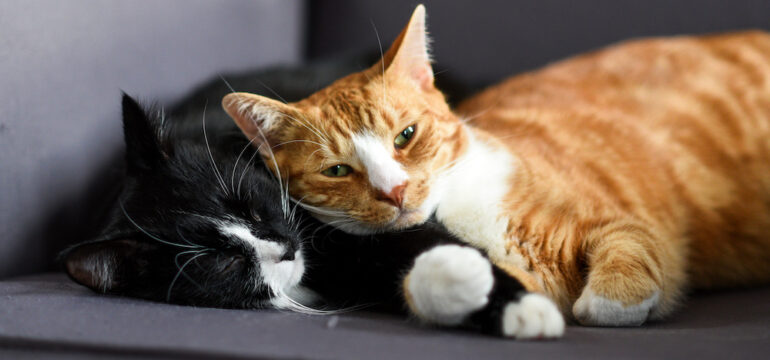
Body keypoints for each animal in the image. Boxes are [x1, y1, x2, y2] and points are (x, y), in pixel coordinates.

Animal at [222, 4, 768, 334]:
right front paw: (455, 281)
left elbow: (628, 260)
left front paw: (601, 303)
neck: (462, 209)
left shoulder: (628, 223)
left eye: (405, 136)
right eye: (336, 171)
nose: (394, 191)